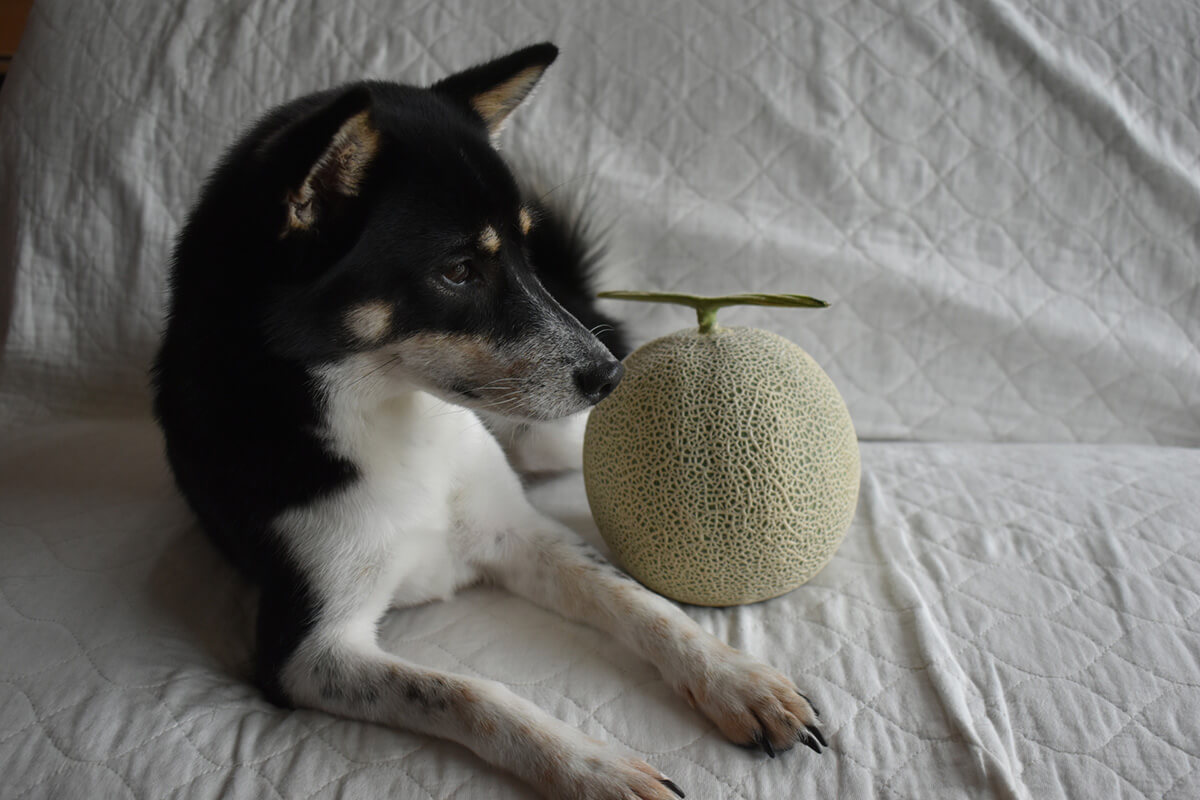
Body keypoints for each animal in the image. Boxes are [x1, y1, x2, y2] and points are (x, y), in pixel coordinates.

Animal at [150, 45, 825, 800]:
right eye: (458, 270)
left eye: (525, 252)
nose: (610, 377)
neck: (395, 425)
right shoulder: (306, 652)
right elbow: (475, 693)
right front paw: (596, 768)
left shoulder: (524, 534)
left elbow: (643, 605)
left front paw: (737, 681)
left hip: (548, 438)